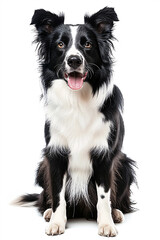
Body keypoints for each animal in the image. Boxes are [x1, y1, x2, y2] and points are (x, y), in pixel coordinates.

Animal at [19, 6, 136, 237]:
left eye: (87, 44)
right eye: (60, 44)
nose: (74, 60)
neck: (77, 101)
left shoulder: (104, 155)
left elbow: (103, 196)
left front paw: (106, 224)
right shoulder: (55, 154)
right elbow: (58, 194)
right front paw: (56, 222)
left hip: (124, 163)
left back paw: (116, 213)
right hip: (42, 165)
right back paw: (47, 211)